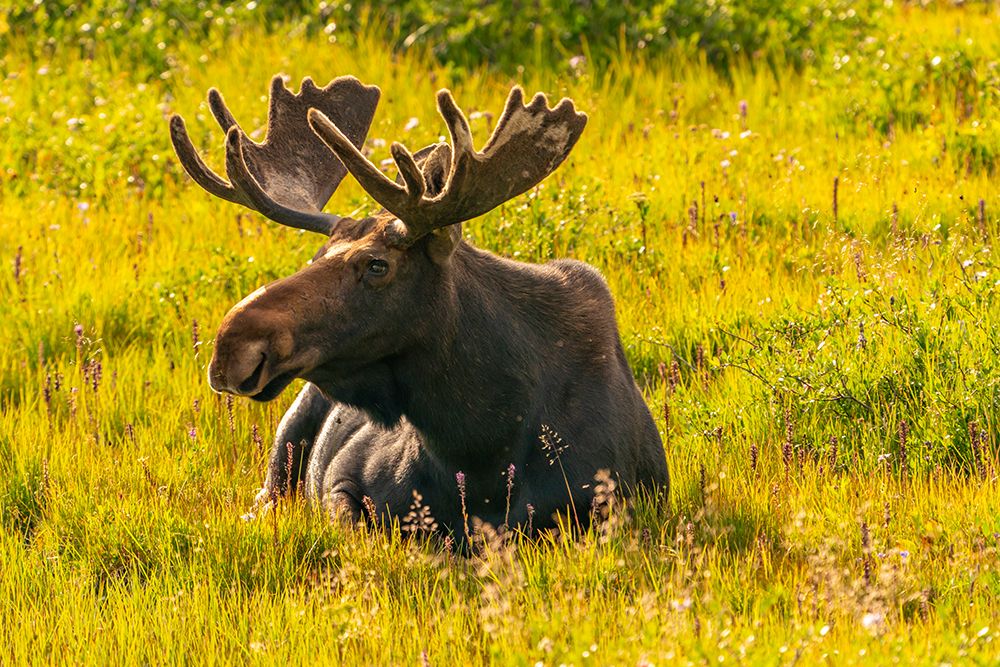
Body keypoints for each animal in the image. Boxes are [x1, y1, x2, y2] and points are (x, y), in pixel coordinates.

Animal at [169, 74, 669, 537]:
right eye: (316, 256)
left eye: (377, 265)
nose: (230, 347)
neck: (481, 440)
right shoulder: (342, 482)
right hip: (283, 451)